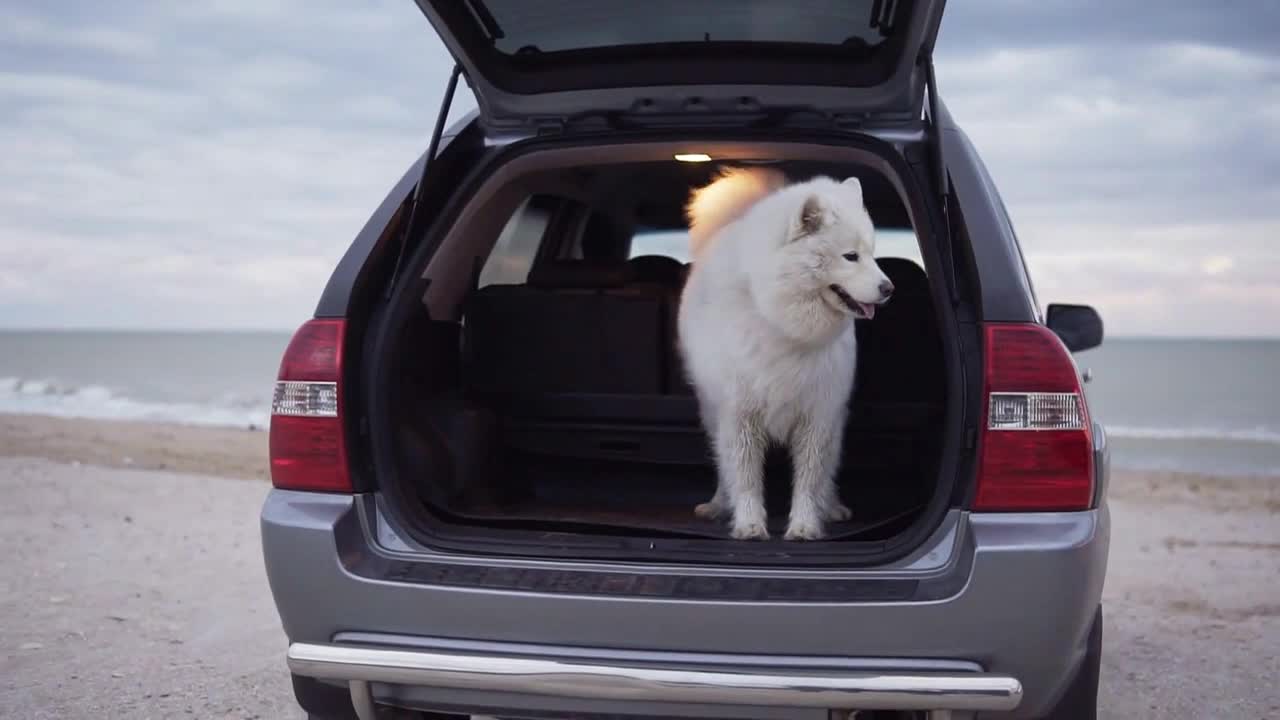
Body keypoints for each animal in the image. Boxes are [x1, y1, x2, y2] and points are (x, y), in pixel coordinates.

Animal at [675, 166, 896, 538]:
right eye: (850, 256)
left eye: (872, 253)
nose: (888, 288)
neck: (782, 323)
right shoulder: (740, 415)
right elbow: (746, 478)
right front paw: (749, 525)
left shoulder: (819, 414)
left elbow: (809, 479)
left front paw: (805, 526)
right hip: (712, 412)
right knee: (723, 465)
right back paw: (719, 505)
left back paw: (830, 506)